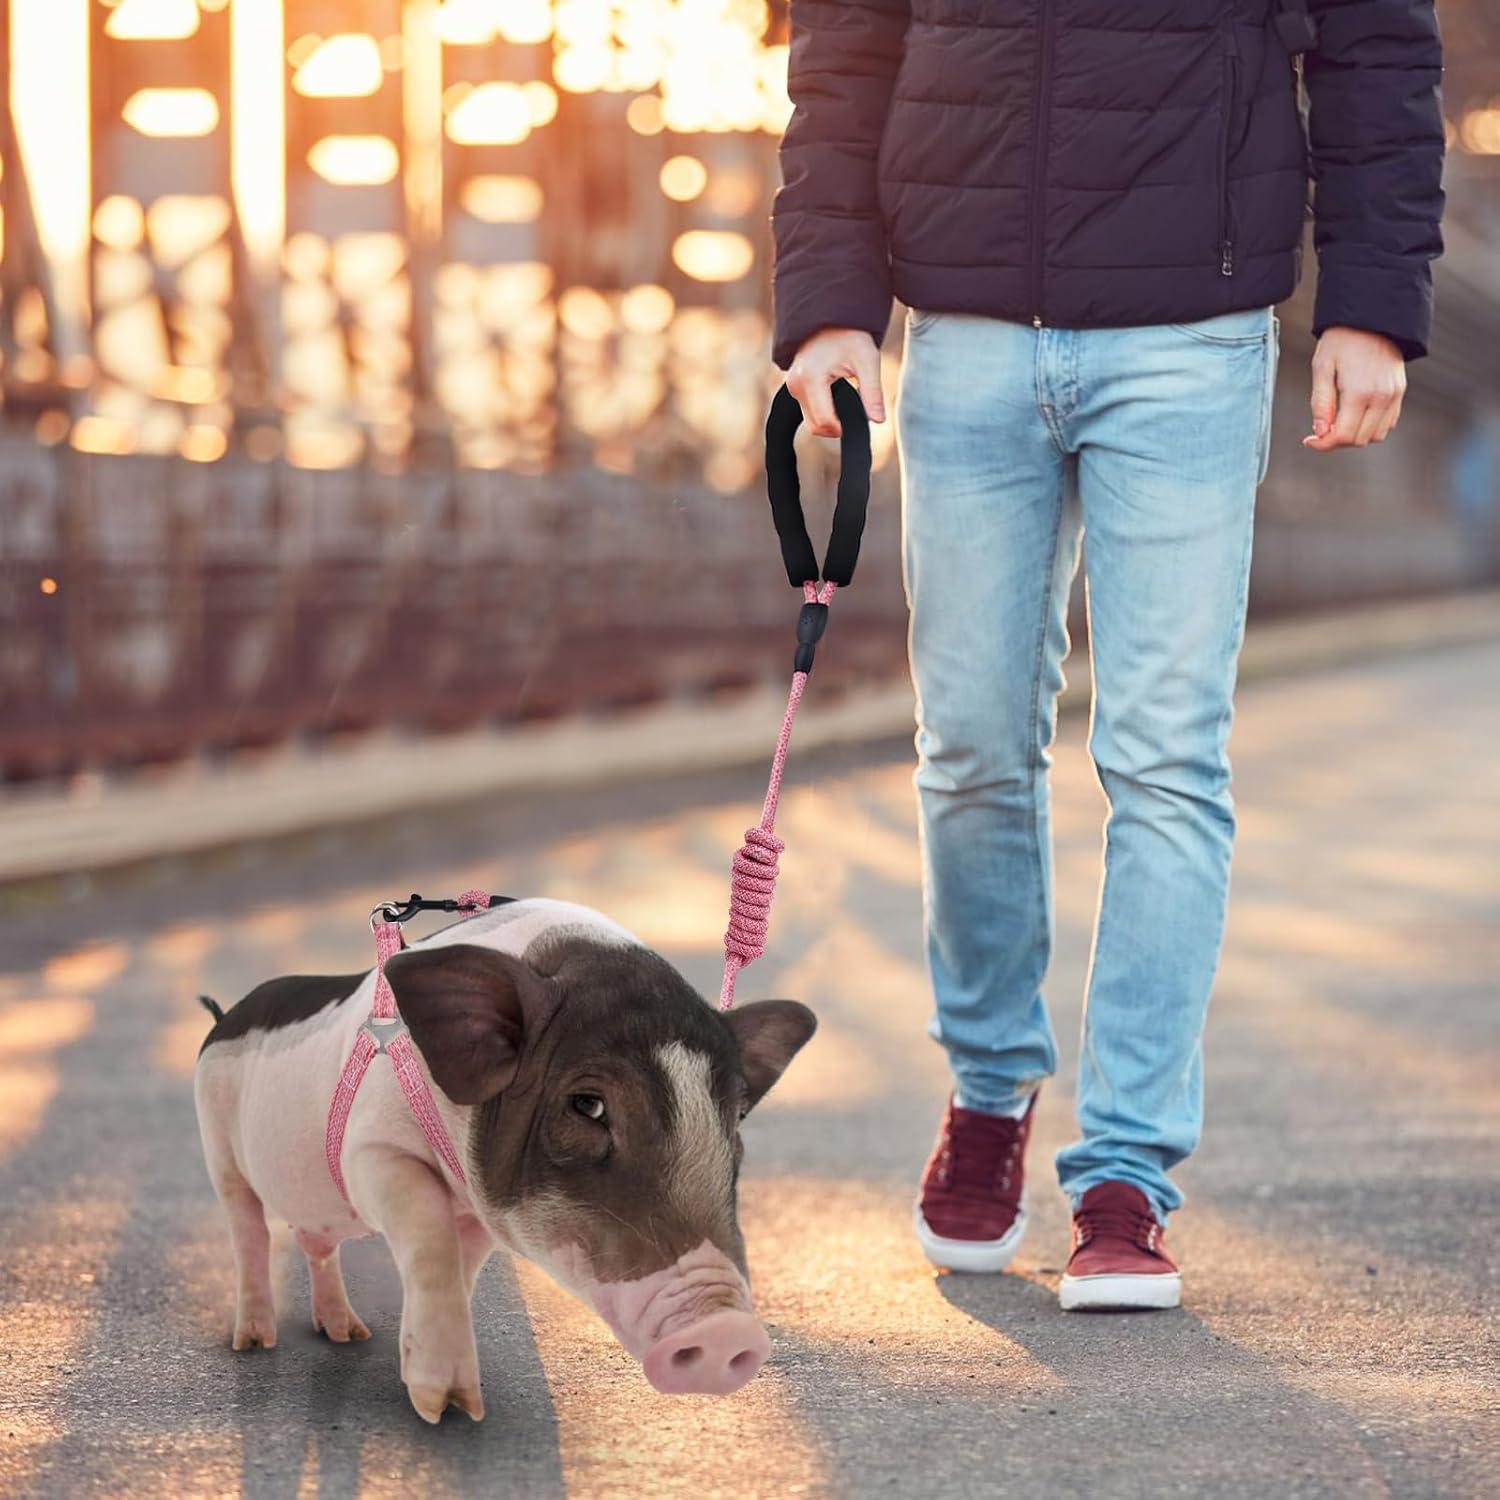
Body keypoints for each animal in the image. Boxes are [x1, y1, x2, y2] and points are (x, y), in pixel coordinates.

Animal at [194, 898, 815, 1421]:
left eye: (736, 1116)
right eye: (588, 1104)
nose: (729, 1331)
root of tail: (223, 1018)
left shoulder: (476, 1206)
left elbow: (460, 1265)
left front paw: (447, 1399)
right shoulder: (372, 1150)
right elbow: (429, 1237)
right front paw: (447, 1409)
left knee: (316, 1244)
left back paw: (349, 1335)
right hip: (217, 1142)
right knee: (248, 1233)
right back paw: (255, 1342)